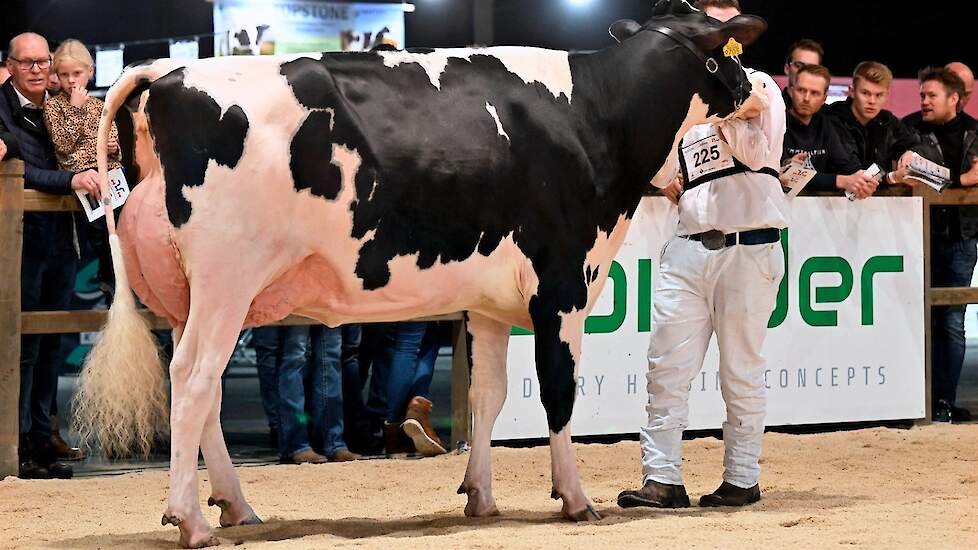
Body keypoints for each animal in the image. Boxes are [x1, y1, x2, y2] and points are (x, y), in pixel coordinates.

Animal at [76, 1, 764, 548]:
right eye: (728, 52)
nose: (759, 88)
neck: (595, 115)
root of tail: (168, 74)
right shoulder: (564, 285)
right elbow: (558, 392)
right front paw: (575, 499)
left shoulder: (488, 303)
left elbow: (487, 396)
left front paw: (481, 497)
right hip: (225, 282)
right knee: (192, 381)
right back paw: (190, 520)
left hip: (190, 297)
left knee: (206, 390)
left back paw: (238, 507)